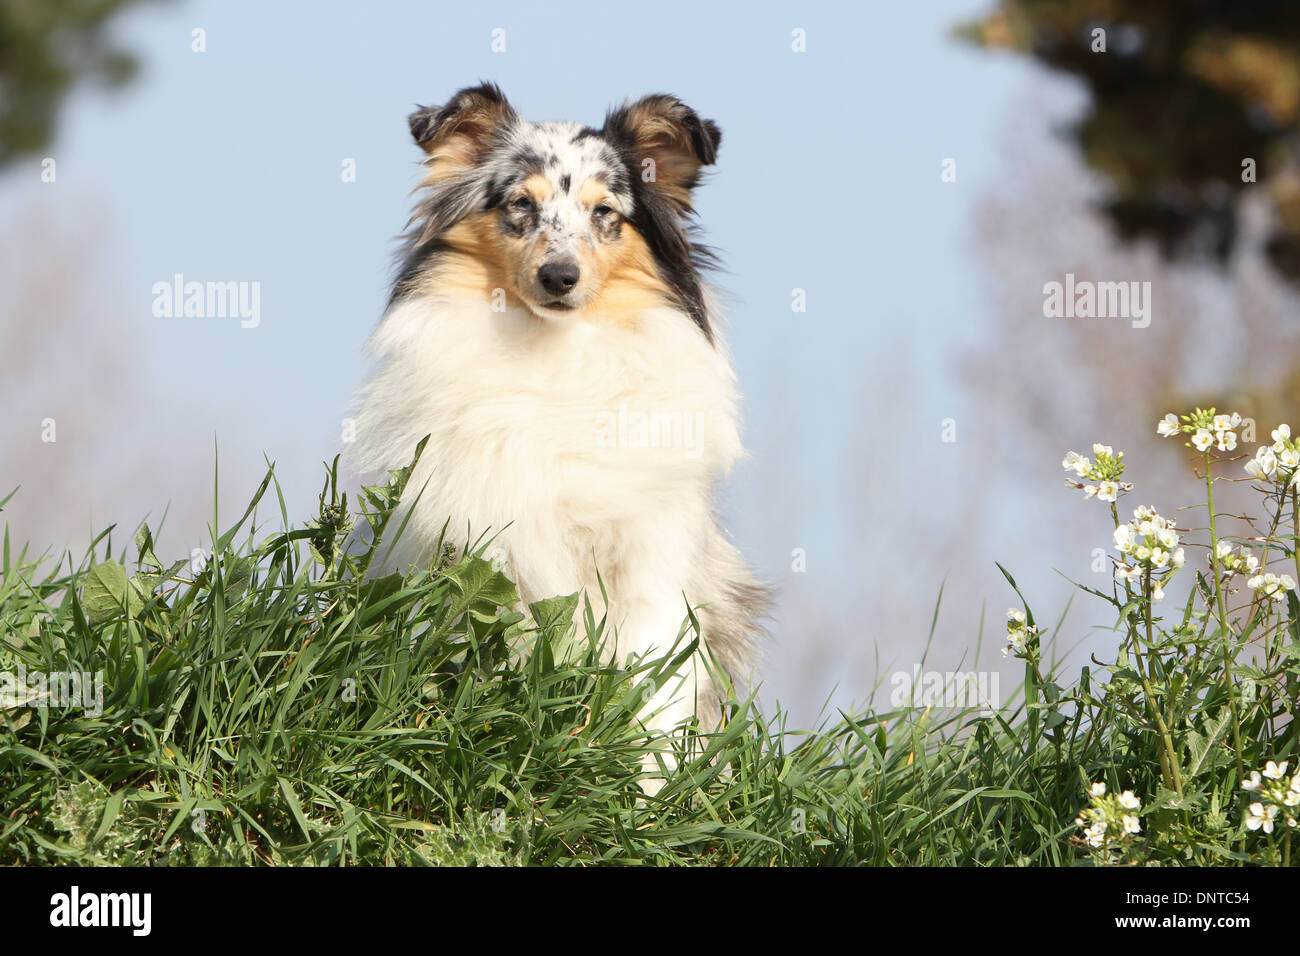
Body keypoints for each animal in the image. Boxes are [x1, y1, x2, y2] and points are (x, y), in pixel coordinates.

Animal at [351, 83, 764, 785]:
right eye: (521, 204)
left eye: (605, 212)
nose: (559, 277)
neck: (557, 352)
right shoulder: (482, 553)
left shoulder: (654, 557)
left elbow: (651, 690)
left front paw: (646, 791)